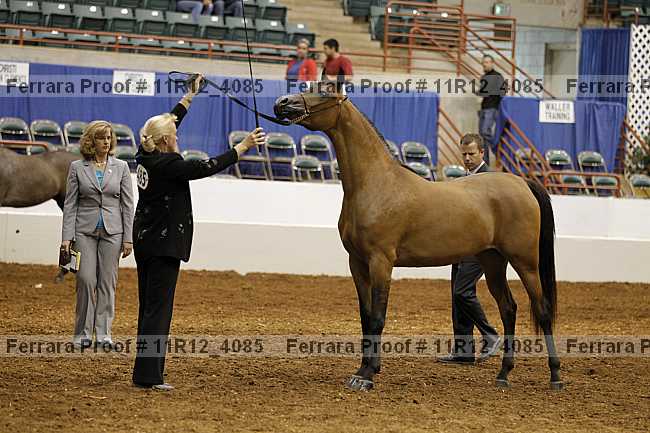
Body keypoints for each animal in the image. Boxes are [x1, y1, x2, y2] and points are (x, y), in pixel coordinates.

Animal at [273, 91, 562, 392]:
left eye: (325, 91)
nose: (282, 103)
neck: (376, 184)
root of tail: (523, 183)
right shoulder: (358, 263)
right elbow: (366, 317)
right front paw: (364, 369)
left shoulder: (381, 262)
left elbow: (377, 317)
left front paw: (366, 376)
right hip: (493, 261)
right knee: (508, 309)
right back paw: (503, 374)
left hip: (525, 262)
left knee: (542, 310)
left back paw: (555, 376)